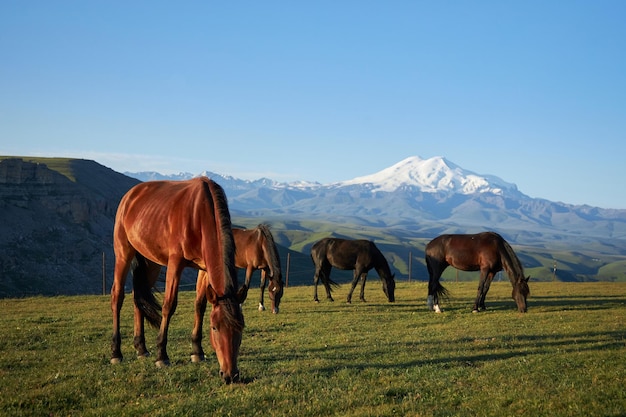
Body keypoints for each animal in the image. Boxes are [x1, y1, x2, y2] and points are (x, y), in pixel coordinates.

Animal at [109, 177, 246, 382]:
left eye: (241, 328)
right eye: (215, 328)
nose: (230, 375)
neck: (200, 213)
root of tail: (130, 195)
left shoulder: (204, 269)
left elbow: (200, 306)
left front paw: (197, 351)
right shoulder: (175, 263)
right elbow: (169, 305)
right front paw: (162, 356)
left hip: (151, 262)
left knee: (137, 298)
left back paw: (141, 348)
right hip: (123, 254)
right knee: (117, 297)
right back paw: (116, 353)